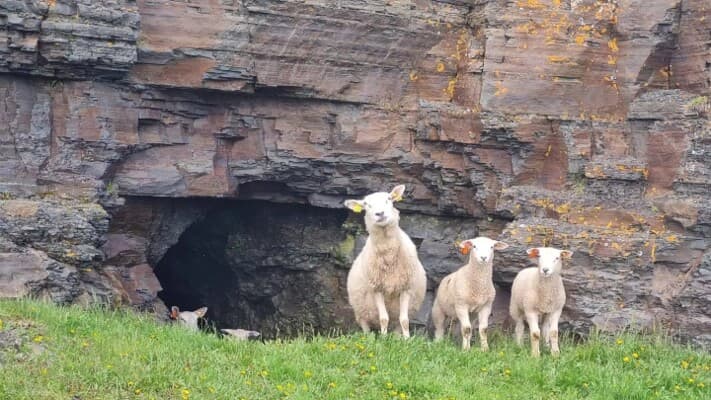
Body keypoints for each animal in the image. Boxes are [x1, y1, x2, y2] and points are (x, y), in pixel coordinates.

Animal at [344, 184, 427, 338]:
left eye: (389, 199)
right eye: (366, 204)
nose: (380, 213)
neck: (389, 255)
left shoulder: (406, 287)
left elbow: (404, 320)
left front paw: (407, 339)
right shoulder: (377, 288)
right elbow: (383, 318)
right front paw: (383, 339)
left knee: (397, 324)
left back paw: (397, 338)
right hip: (361, 311)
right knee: (366, 325)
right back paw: (370, 337)